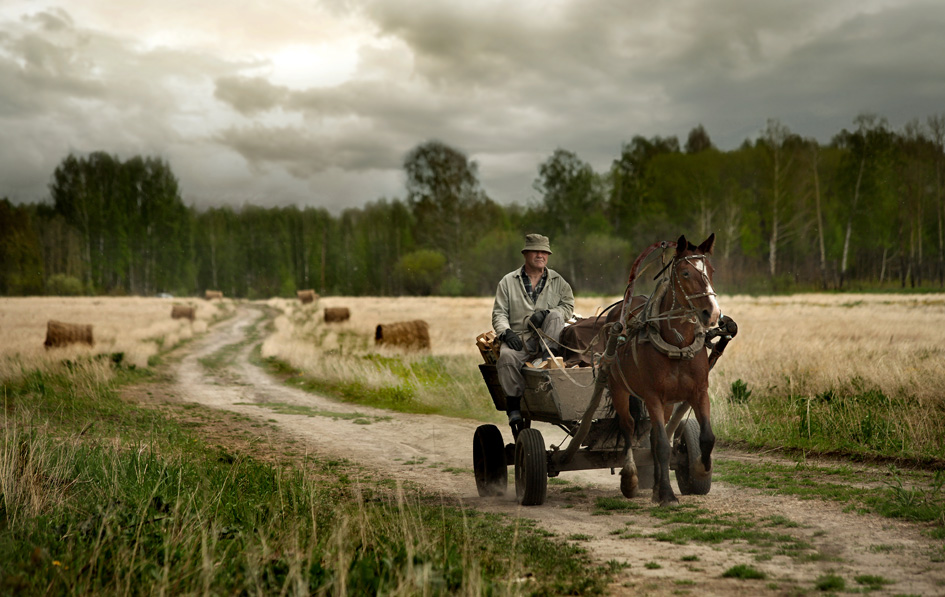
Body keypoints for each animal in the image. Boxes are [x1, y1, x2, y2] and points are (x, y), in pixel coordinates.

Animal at [604, 235, 724, 506]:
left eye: (711, 271)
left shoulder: (699, 392)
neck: (677, 345)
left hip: (668, 402)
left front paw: (699, 468)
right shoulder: (652, 397)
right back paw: (631, 477)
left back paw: (657, 486)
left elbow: (706, 437)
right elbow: (661, 445)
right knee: (628, 427)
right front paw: (668, 495)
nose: (712, 313)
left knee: (650, 436)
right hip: (619, 389)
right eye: (686, 273)